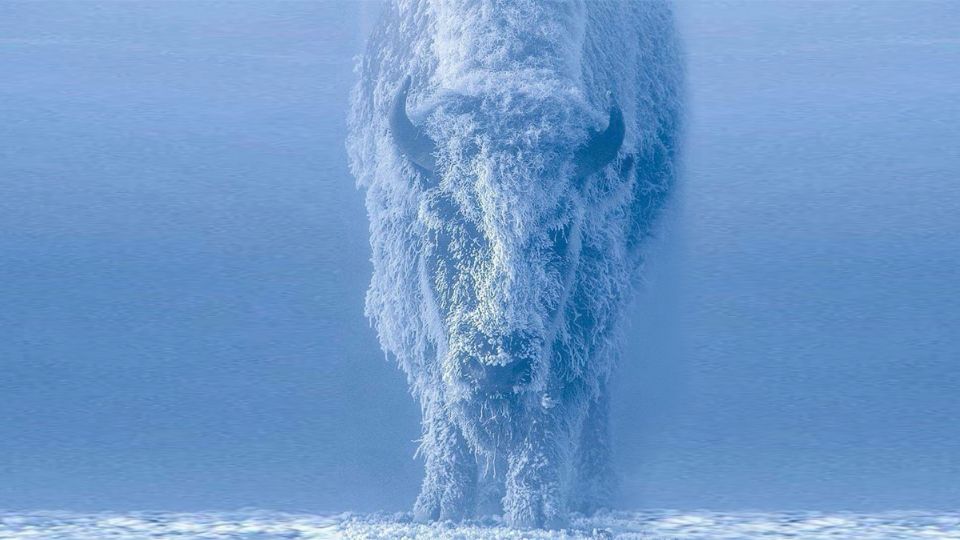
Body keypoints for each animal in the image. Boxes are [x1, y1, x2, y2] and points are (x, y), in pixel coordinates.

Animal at [344, 0, 684, 528]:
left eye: (560, 228)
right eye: (446, 217)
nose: (497, 366)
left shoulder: (586, 294)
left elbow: (554, 401)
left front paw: (536, 511)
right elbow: (443, 396)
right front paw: (441, 506)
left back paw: (594, 491)